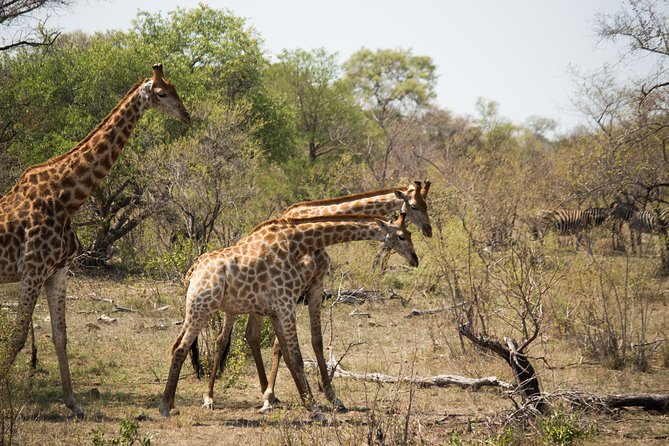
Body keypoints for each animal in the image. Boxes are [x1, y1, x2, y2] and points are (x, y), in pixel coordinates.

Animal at [0, 63, 190, 418]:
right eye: (161, 93)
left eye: (175, 89)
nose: (186, 116)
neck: (66, 197)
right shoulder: (32, 270)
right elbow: (17, 337)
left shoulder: (57, 272)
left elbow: (60, 336)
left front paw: (74, 404)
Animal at [158, 214, 418, 416]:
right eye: (402, 236)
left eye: (408, 234)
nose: (415, 259)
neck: (297, 244)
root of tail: (193, 270)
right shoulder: (287, 304)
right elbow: (297, 357)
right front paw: (314, 407)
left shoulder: (276, 309)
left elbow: (286, 352)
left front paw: (288, 399)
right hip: (203, 307)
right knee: (182, 348)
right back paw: (166, 407)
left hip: (195, 309)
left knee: (176, 346)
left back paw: (173, 404)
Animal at [196, 180, 430, 412]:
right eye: (414, 206)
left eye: (425, 203)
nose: (428, 231)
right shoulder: (294, 292)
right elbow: (282, 346)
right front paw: (279, 396)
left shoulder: (314, 286)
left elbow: (315, 340)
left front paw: (329, 397)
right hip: (234, 306)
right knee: (222, 339)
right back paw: (210, 396)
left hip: (256, 306)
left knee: (251, 335)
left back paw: (266, 391)